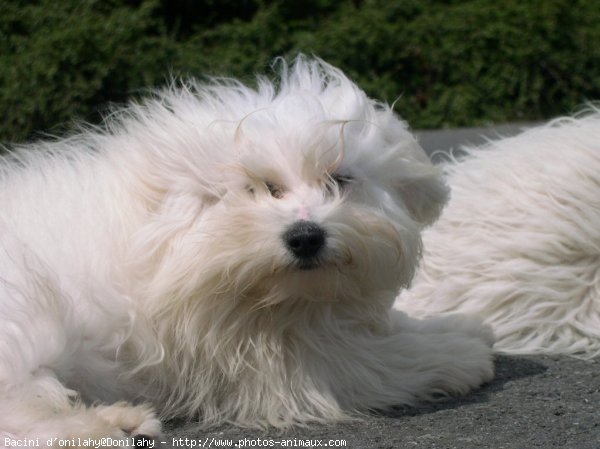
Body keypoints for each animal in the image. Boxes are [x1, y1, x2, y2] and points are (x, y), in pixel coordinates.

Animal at [0, 57, 492, 440]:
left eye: (338, 179)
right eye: (262, 186)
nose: (306, 236)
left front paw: (459, 327)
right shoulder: (281, 361)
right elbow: (378, 360)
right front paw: (459, 355)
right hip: (30, 306)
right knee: (21, 406)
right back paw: (101, 427)